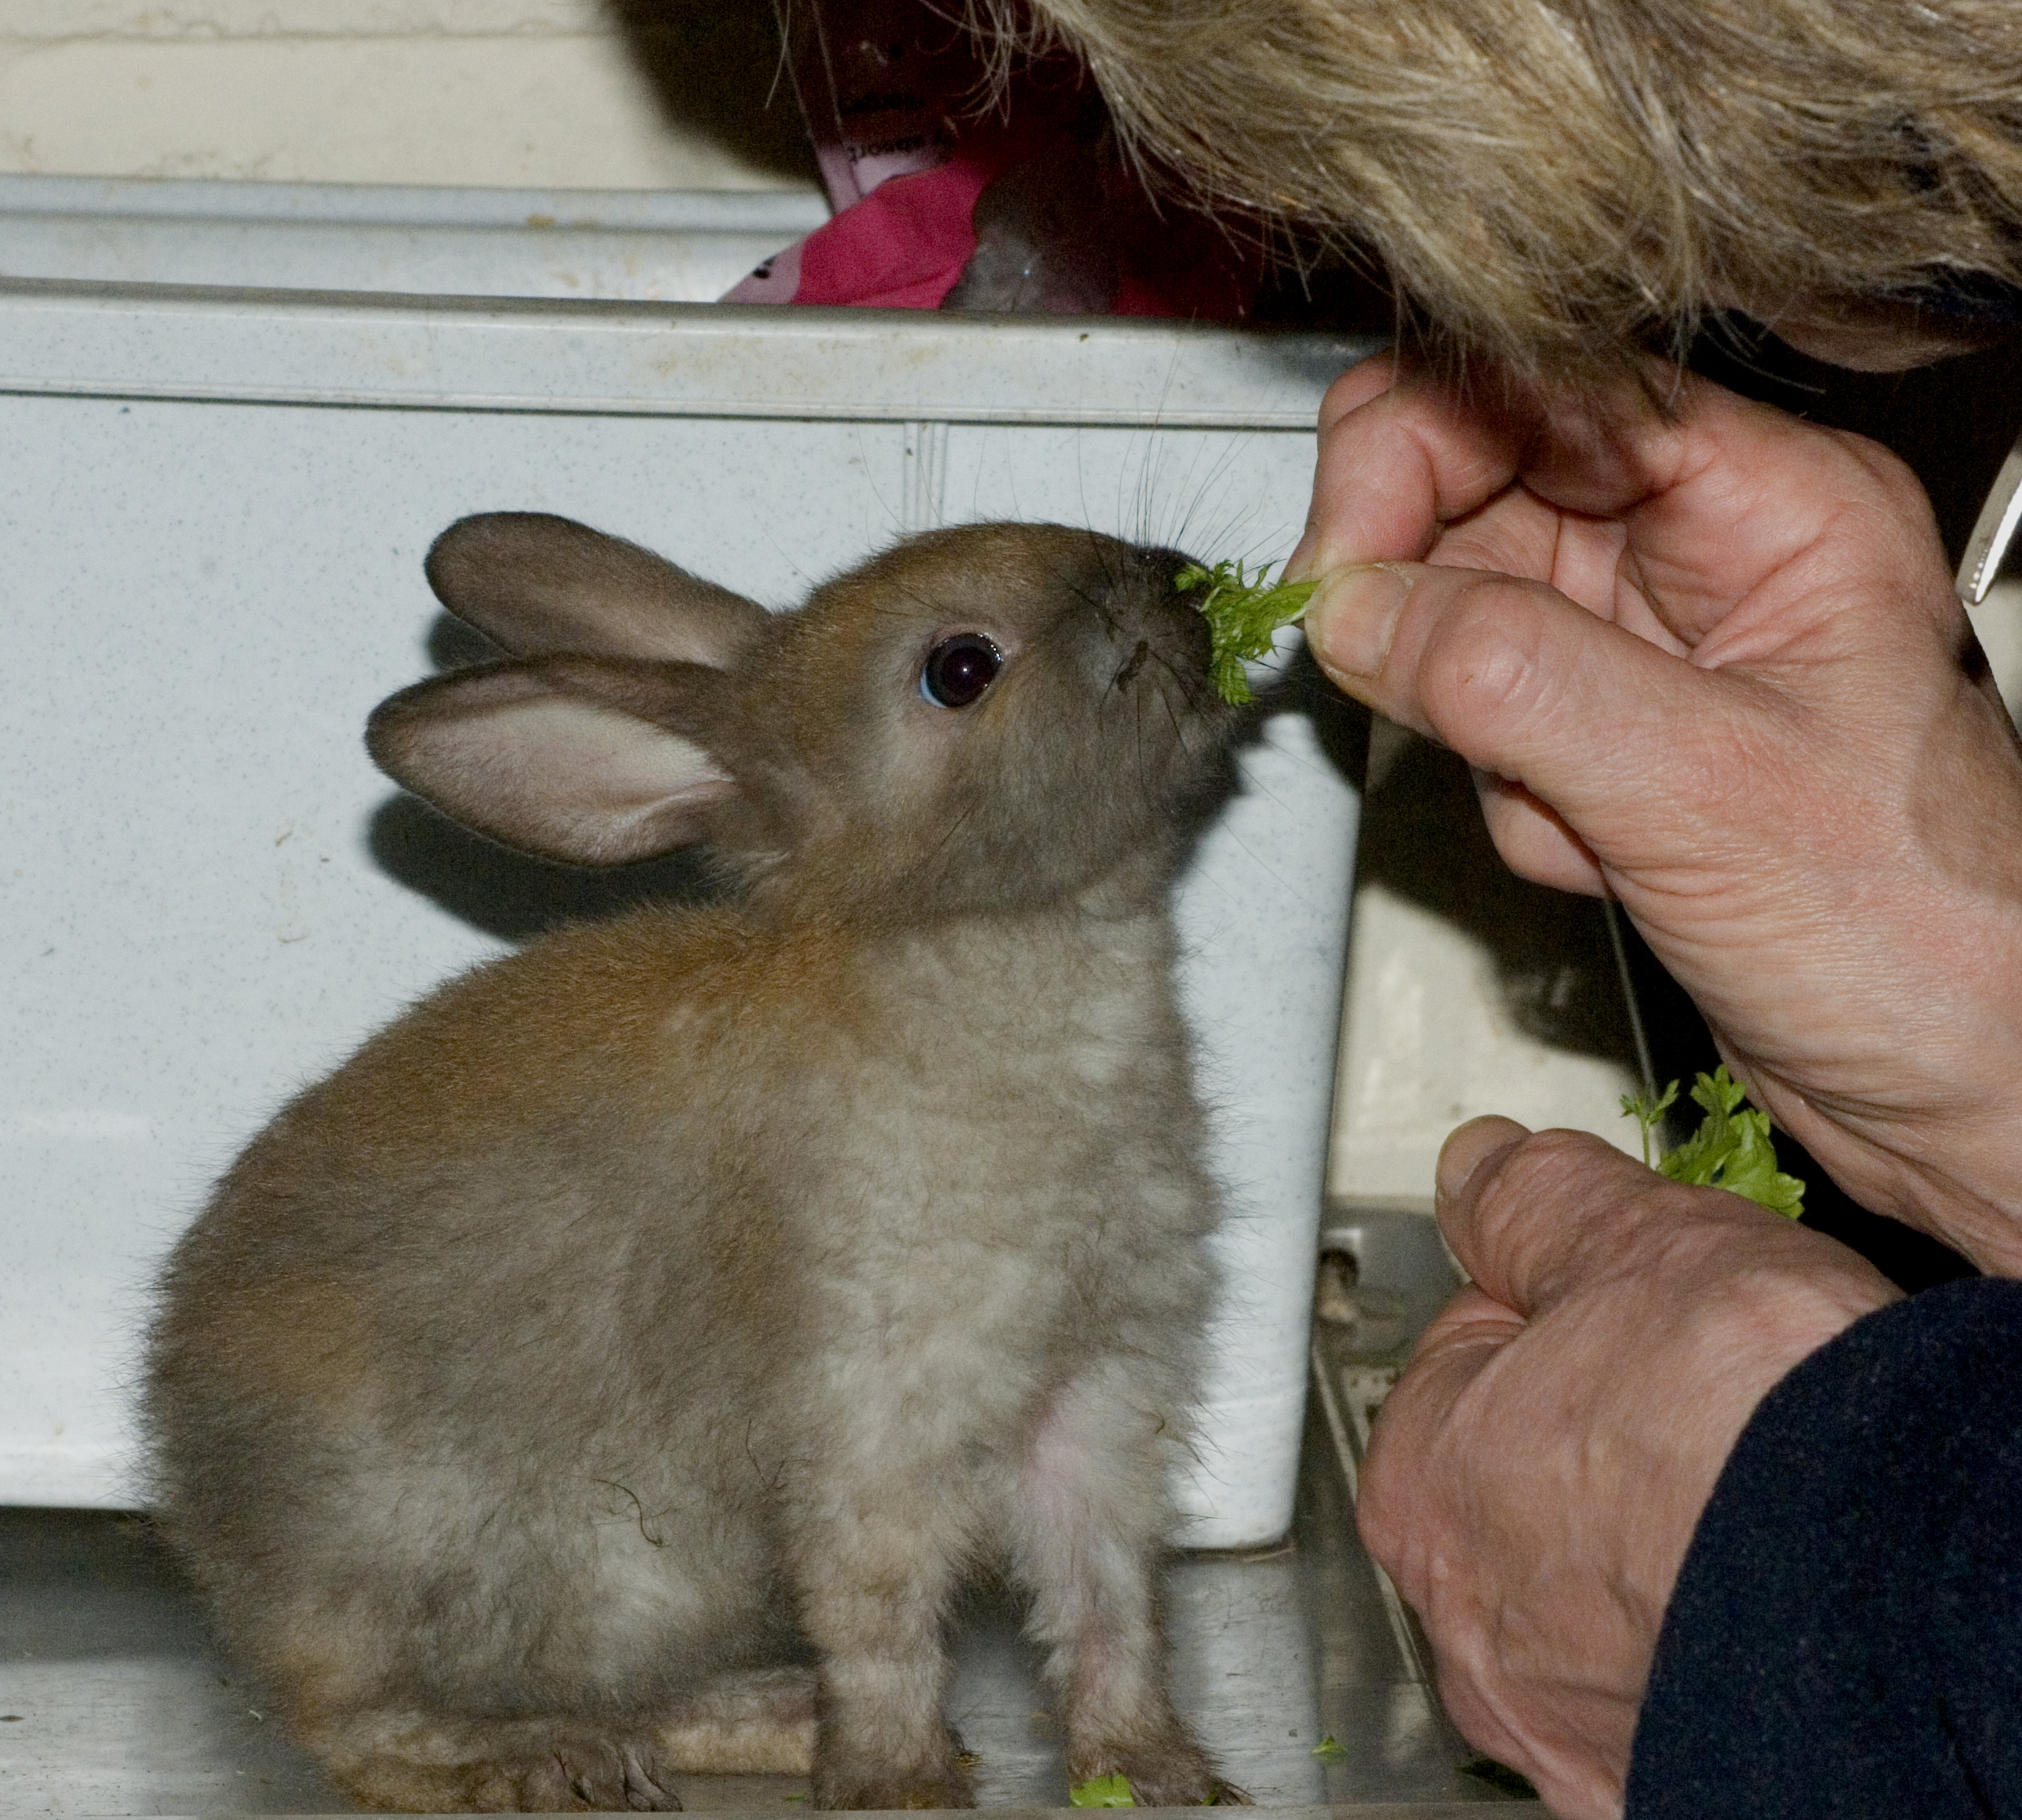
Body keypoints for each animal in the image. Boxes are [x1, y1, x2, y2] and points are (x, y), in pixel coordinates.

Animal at [146, 507, 1245, 1803]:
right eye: (960, 669)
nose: (1179, 584)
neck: (989, 943)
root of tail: (197, 1504)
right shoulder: (875, 1418)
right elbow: (880, 1615)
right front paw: (900, 1784)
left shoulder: (1096, 1397)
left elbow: (1109, 1596)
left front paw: (1151, 1767)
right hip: (463, 1560)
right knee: (351, 1728)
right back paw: (543, 1763)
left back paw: (765, 1717)